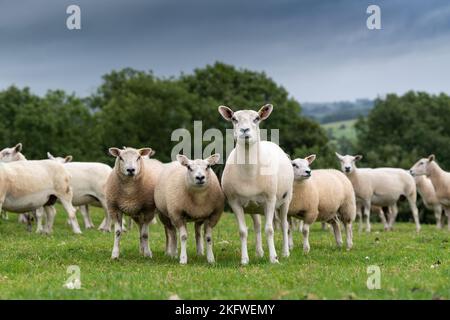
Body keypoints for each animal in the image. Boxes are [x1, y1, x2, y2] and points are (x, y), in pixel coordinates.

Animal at [219, 104, 296, 264]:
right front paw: (244, 260)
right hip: (254, 206)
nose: (244, 130)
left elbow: (270, 229)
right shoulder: (234, 202)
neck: (249, 172)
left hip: (286, 199)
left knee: (284, 225)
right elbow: (243, 231)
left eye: (257, 118)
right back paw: (259, 252)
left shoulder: (270, 199)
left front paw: (274, 258)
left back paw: (285, 252)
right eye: (234, 119)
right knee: (257, 226)